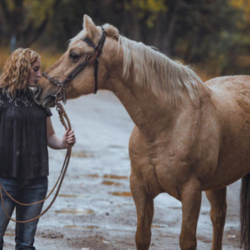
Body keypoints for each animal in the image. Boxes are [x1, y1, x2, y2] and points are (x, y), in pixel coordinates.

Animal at [34, 14, 250, 249]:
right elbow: (142, 237)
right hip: (217, 183)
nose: (38, 89)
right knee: (218, 217)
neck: (168, 123)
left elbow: (187, 240)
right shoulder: (140, 188)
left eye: (74, 55)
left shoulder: (191, 192)